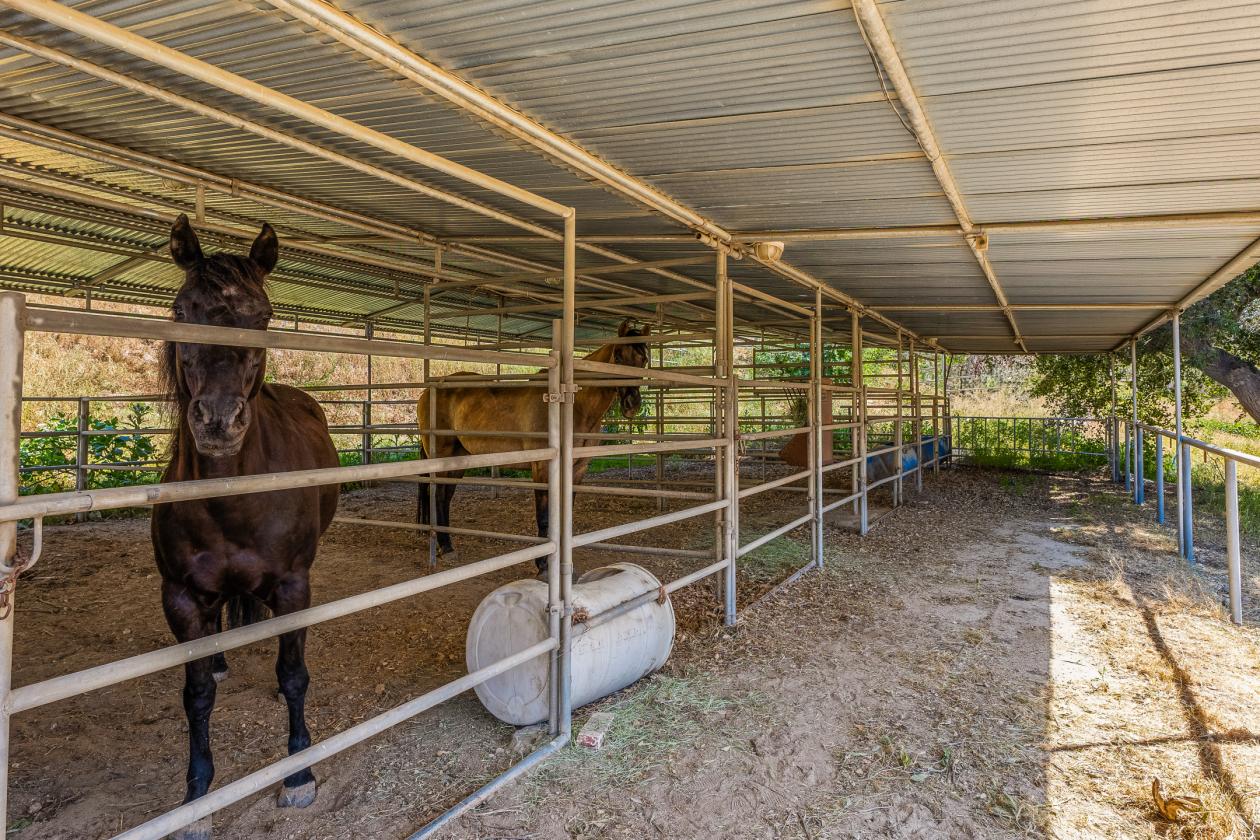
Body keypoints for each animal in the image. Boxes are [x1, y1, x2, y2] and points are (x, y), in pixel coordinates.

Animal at [152, 215, 339, 839]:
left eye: (262, 317)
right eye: (181, 309)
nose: (217, 420)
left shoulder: (294, 584)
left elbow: (294, 673)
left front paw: (299, 773)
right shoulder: (181, 597)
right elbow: (196, 695)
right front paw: (195, 797)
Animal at [416, 320, 651, 573]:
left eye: (644, 360)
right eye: (618, 356)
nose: (632, 404)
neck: (571, 408)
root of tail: (427, 391)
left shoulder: (577, 470)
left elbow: (565, 514)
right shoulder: (543, 468)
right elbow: (545, 516)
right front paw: (543, 564)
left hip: (459, 459)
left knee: (445, 497)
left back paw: (445, 545)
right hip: (441, 456)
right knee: (437, 495)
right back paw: (446, 546)